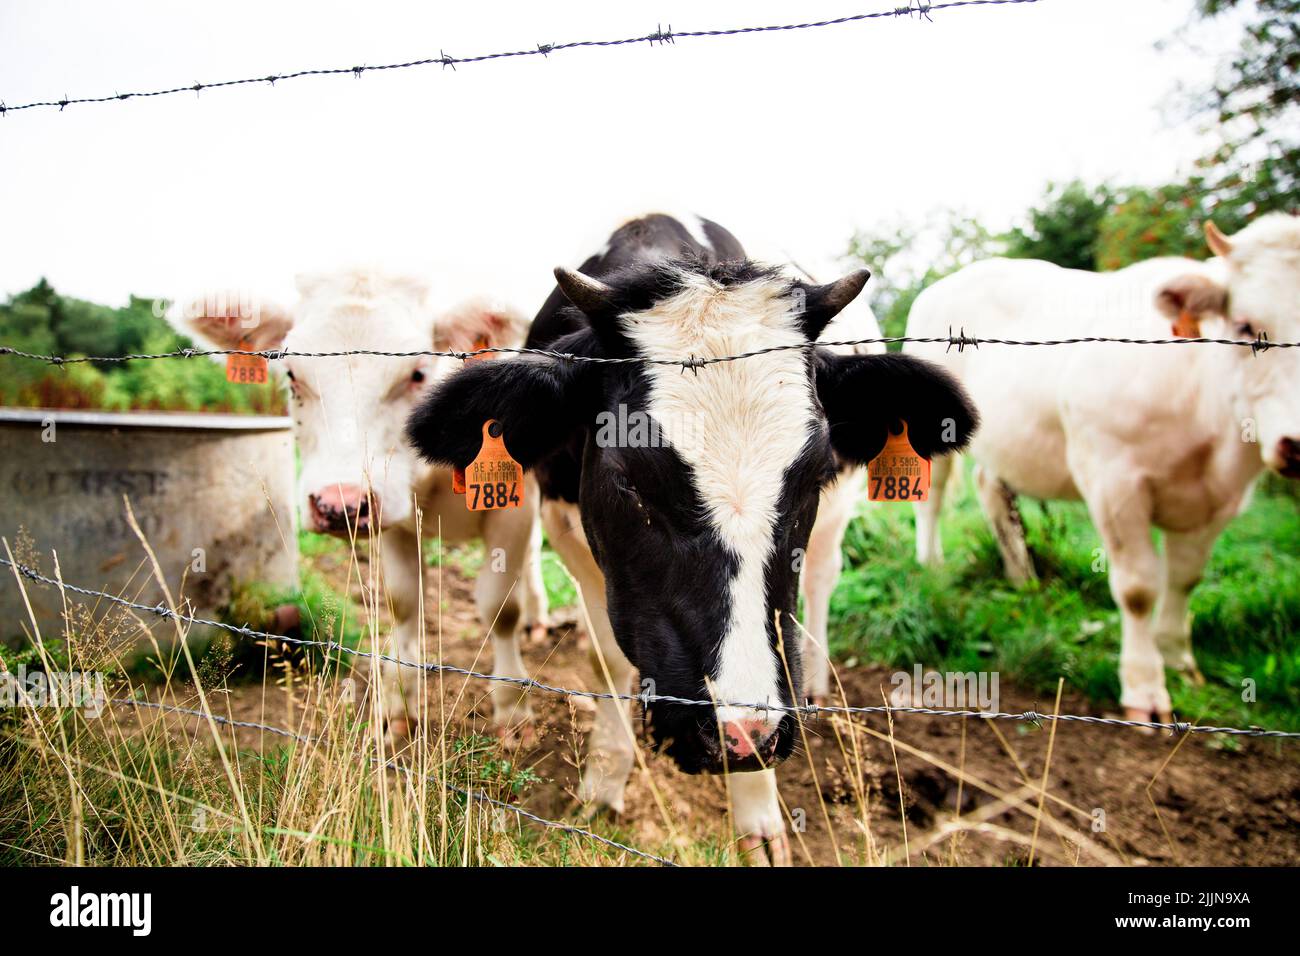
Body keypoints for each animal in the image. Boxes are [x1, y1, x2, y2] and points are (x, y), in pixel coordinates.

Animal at [171, 270, 549, 745]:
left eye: (417, 373)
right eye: (292, 374)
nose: (338, 504)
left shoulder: (515, 506)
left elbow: (500, 606)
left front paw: (512, 708)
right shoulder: (393, 516)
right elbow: (402, 602)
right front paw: (399, 705)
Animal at [406, 213, 977, 863]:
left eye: (815, 474)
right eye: (629, 481)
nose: (741, 733)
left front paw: (758, 814)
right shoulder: (564, 528)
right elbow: (607, 658)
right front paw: (605, 777)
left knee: (823, 581)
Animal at [906, 214, 1300, 723]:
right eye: (1245, 325)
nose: (1298, 443)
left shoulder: (1221, 498)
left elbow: (1185, 578)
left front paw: (1178, 658)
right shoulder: (1115, 479)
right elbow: (1138, 588)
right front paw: (1145, 689)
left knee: (992, 489)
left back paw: (1022, 577)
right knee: (931, 498)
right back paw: (931, 564)